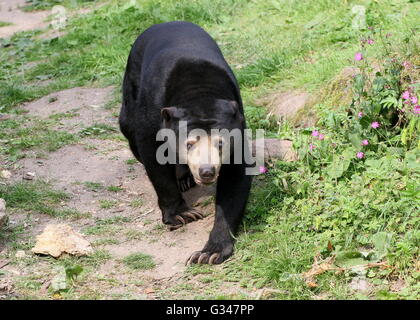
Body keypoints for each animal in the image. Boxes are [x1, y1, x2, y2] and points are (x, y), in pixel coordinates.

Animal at [119, 20, 253, 264]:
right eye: (189, 144)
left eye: (220, 144)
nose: (207, 171)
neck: (199, 93)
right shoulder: (152, 112)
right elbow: (153, 155)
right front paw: (182, 215)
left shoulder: (238, 126)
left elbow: (236, 177)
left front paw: (210, 252)